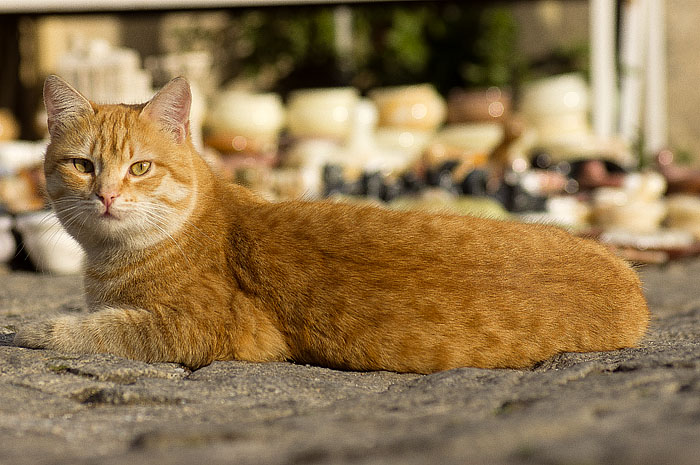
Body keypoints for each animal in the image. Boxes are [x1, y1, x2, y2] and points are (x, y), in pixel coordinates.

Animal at [13, 75, 652, 374]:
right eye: (83, 165)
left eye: (140, 167)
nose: (106, 195)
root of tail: (632, 282)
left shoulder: (209, 330)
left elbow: (98, 332)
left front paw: (33, 328)